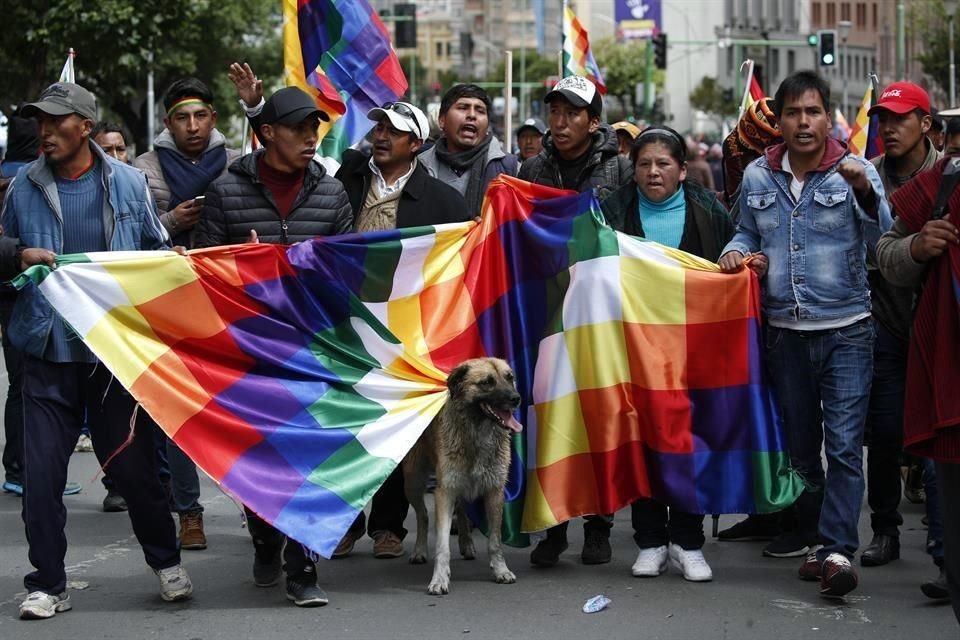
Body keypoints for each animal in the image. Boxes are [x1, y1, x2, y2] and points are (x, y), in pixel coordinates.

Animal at [402, 358, 520, 592]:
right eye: (486, 382)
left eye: (509, 377)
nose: (516, 399)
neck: (477, 431)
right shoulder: (445, 491)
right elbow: (442, 545)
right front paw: (439, 579)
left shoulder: (494, 491)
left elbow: (495, 541)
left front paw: (501, 570)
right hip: (413, 481)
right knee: (423, 515)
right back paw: (420, 550)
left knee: (463, 510)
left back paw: (467, 543)